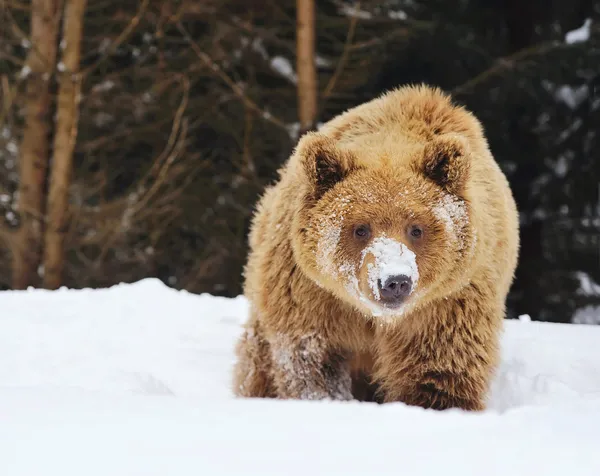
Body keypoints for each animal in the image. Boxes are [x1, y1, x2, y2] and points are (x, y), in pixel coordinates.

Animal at [232, 83, 516, 410]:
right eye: (360, 228)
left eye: (416, 228)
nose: (395, 281)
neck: (374, 318)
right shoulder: (311, 295)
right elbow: (311, 359)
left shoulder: (448, 303)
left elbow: (438, 371)